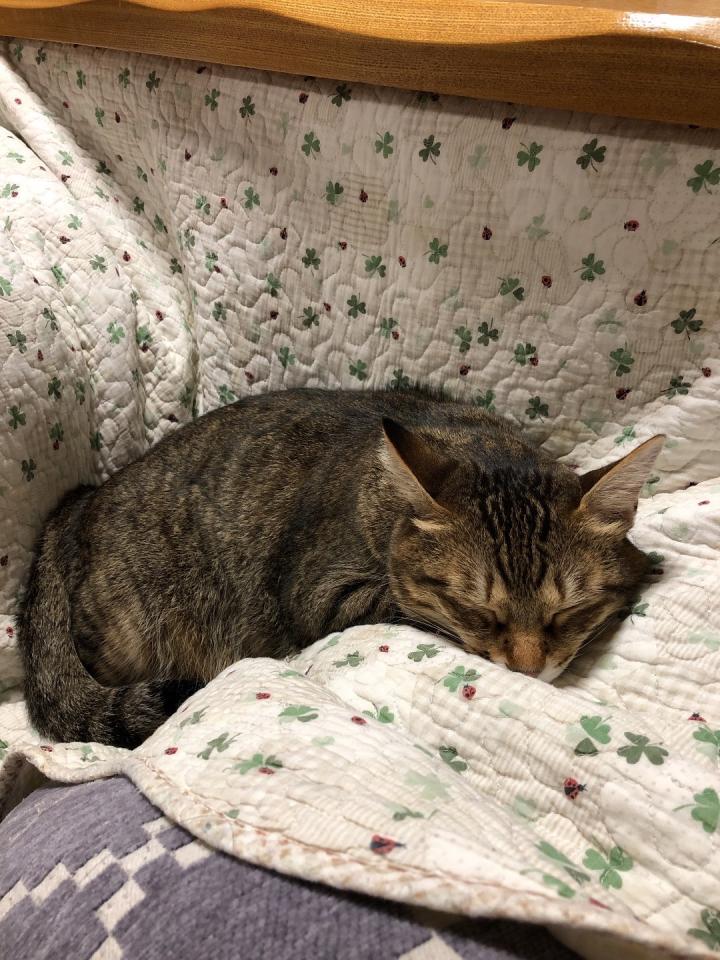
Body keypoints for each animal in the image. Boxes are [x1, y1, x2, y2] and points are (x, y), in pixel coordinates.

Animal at [17, 387, 664, 748]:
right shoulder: (320, 592)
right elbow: (399, 605)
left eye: (568, 611)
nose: (528, 671)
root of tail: (74, 508)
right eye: (475, 609)